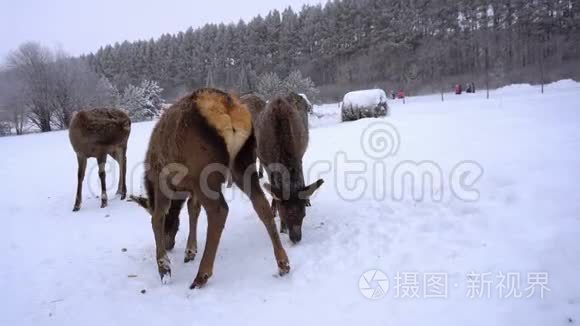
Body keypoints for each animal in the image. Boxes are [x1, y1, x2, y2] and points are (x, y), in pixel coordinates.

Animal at [131, 88, 290, 288]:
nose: (169, 244)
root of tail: (228, 107)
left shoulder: (163, 180)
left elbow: (157, 217)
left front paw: (164, 267)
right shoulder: (192, 188)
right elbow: (193, 210)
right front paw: (190, 251)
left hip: (204, 170)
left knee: (219, 211)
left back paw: (201, 275)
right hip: (243, 163)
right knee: (261, 204)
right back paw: (283, 263)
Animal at [254, 93, 326, 243]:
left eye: (303, 215)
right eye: (284, 214)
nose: (296, 238)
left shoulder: (298, 156)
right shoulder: (266, 163)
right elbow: (274, 191)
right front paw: (277, 217)